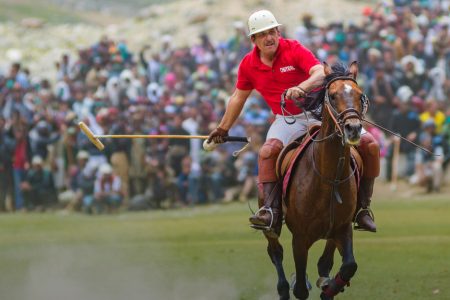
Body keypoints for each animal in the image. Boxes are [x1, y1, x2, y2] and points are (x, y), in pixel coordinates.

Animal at [264, 61, 366, 300]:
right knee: (275, 251)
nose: (353, 128)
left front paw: (330, 288)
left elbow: (349, 265)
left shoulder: (343, 228)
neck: (329, 178)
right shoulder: (300, 237)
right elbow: (300, 287)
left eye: (360, 95)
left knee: (325, 260)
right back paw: (283, 288)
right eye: (333, 95)